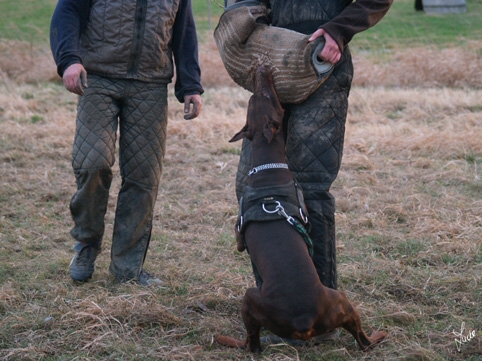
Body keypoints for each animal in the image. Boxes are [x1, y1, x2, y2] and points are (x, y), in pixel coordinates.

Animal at [216, 64, 388, 352]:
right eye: (268, 96)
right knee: (253, 344)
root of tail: (303, 321)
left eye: (260, 97)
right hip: (333, 299)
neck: (266, 169)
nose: (262, 69)